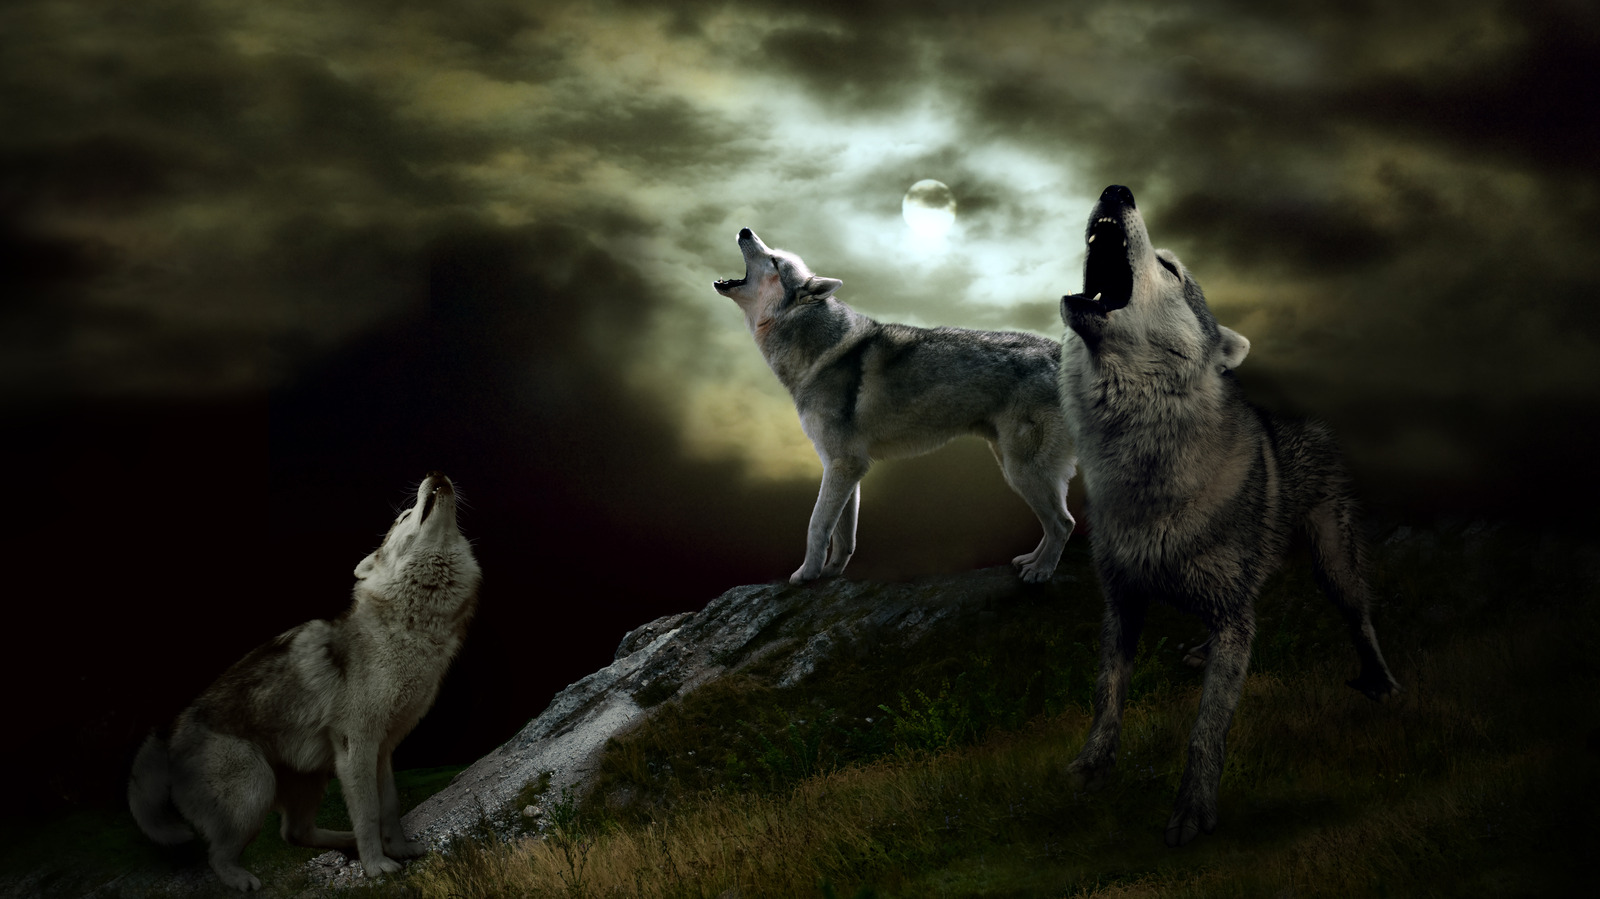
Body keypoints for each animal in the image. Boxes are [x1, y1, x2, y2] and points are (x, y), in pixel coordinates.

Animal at [128, 472, 481, 890]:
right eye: (405, 516)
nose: (436, 475)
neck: (410, 627)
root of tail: (169, 733)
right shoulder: (356, 747)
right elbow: (368, 813)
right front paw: (377, 866)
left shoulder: (382, 749)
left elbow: (389, 808)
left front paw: (399, 848)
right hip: (256, 789)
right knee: (218, 855)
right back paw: (242, 880)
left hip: (310, 779)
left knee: (293, 833)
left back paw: (344, 843)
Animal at [714, 228, 1076, 584]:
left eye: (775, 261)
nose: (745, 230)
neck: (817, 353)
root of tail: (1058, 352)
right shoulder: (846, 466)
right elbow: (844, 535)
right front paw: (830, 573)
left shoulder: (843, 463)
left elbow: (817, 525)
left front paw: (806, 574)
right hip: (1015, 468)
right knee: (1058, 522)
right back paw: (1031, 561)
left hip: (1022, 470)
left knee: (1063, 523)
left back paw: (1041, 571)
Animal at [1057, 186, 1400, 847]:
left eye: (1170, 269)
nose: (1117, 191)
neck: (1145, 468)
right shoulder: (1122, 601)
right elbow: (1107, 693)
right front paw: (1091, 767)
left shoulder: (1231, 614)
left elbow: (1206, 728)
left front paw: (1193, 811)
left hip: (1333, 563)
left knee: (1360, 617)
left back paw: (1379, 681)